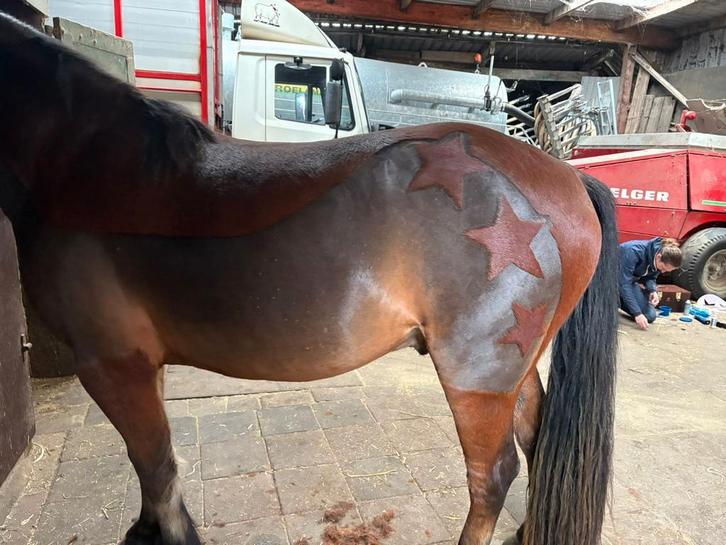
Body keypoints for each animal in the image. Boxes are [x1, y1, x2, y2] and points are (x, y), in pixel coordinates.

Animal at [0, 13, 618, 545]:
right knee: (539, 442)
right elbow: (155, 467)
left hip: (478, 371)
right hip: (517, 363)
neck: (93, 168)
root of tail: (565, 175)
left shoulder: (113, 364)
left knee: (492, 475)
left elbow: (154, 466)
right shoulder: (142, 365)